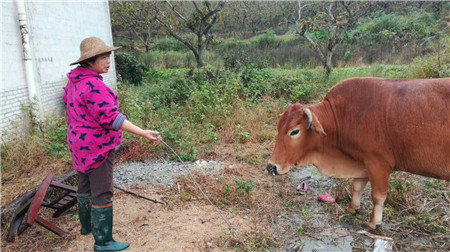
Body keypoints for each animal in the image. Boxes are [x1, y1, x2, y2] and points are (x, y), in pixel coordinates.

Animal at [268, 78, 450, 229]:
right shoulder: (363, 162)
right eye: (278, 128)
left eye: (294, 131)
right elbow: (357, 187)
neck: (342, 116)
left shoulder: (378, 163)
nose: (271, 167)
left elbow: (378, 195)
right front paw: (352, 208)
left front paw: (374, 222)